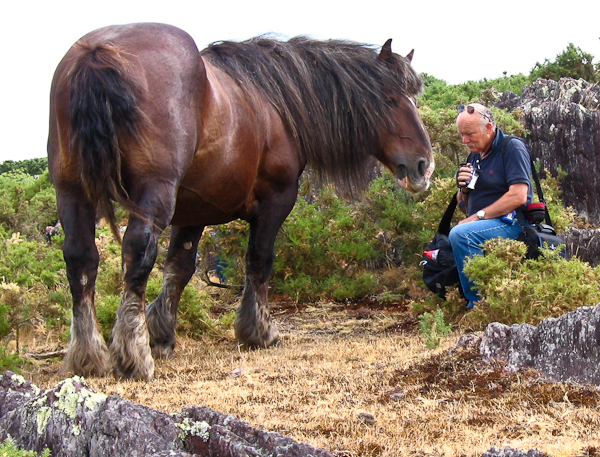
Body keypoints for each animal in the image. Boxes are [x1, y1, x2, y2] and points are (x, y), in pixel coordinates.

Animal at [45, 21, 432, 380]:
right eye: (391, 99)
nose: (423, 165)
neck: (275, 102)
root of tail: (97, 53)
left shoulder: (193, 209)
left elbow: (179, 267)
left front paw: (162, 333)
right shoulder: (276, 200)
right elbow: (259, 261)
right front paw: (257, 331)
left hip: (71, 191)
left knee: (80, 258)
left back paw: (88, 355)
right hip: (153, 192)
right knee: (137, 252)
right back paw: (132, 354)